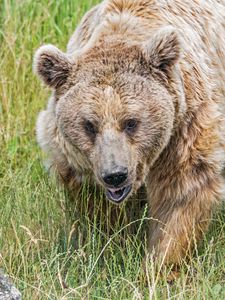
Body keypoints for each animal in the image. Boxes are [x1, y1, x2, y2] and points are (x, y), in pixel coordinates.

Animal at [33, 0, 225, 264]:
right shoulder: (73, 155)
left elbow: (182, 193)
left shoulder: (185, 125)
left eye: (131, 122)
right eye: (89, 125)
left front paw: (161, 261)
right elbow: (95, 203)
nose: (115, 175)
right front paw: (113, 245)